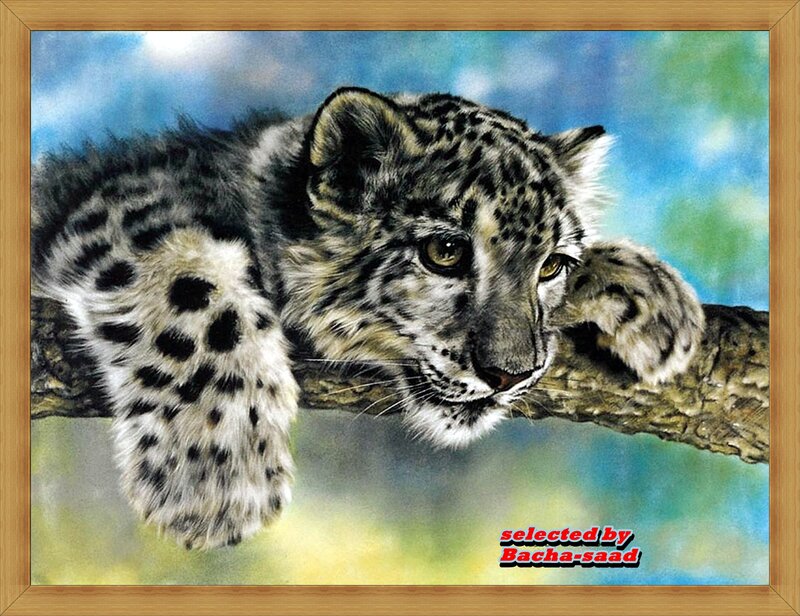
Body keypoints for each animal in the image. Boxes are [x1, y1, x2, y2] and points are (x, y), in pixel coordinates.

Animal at [32, 87, 704, 549]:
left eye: (553, 266)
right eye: (445, 251)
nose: (510, 373)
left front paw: (657, 303)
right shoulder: (128, 210)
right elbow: (193, 290)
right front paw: (215, 482)